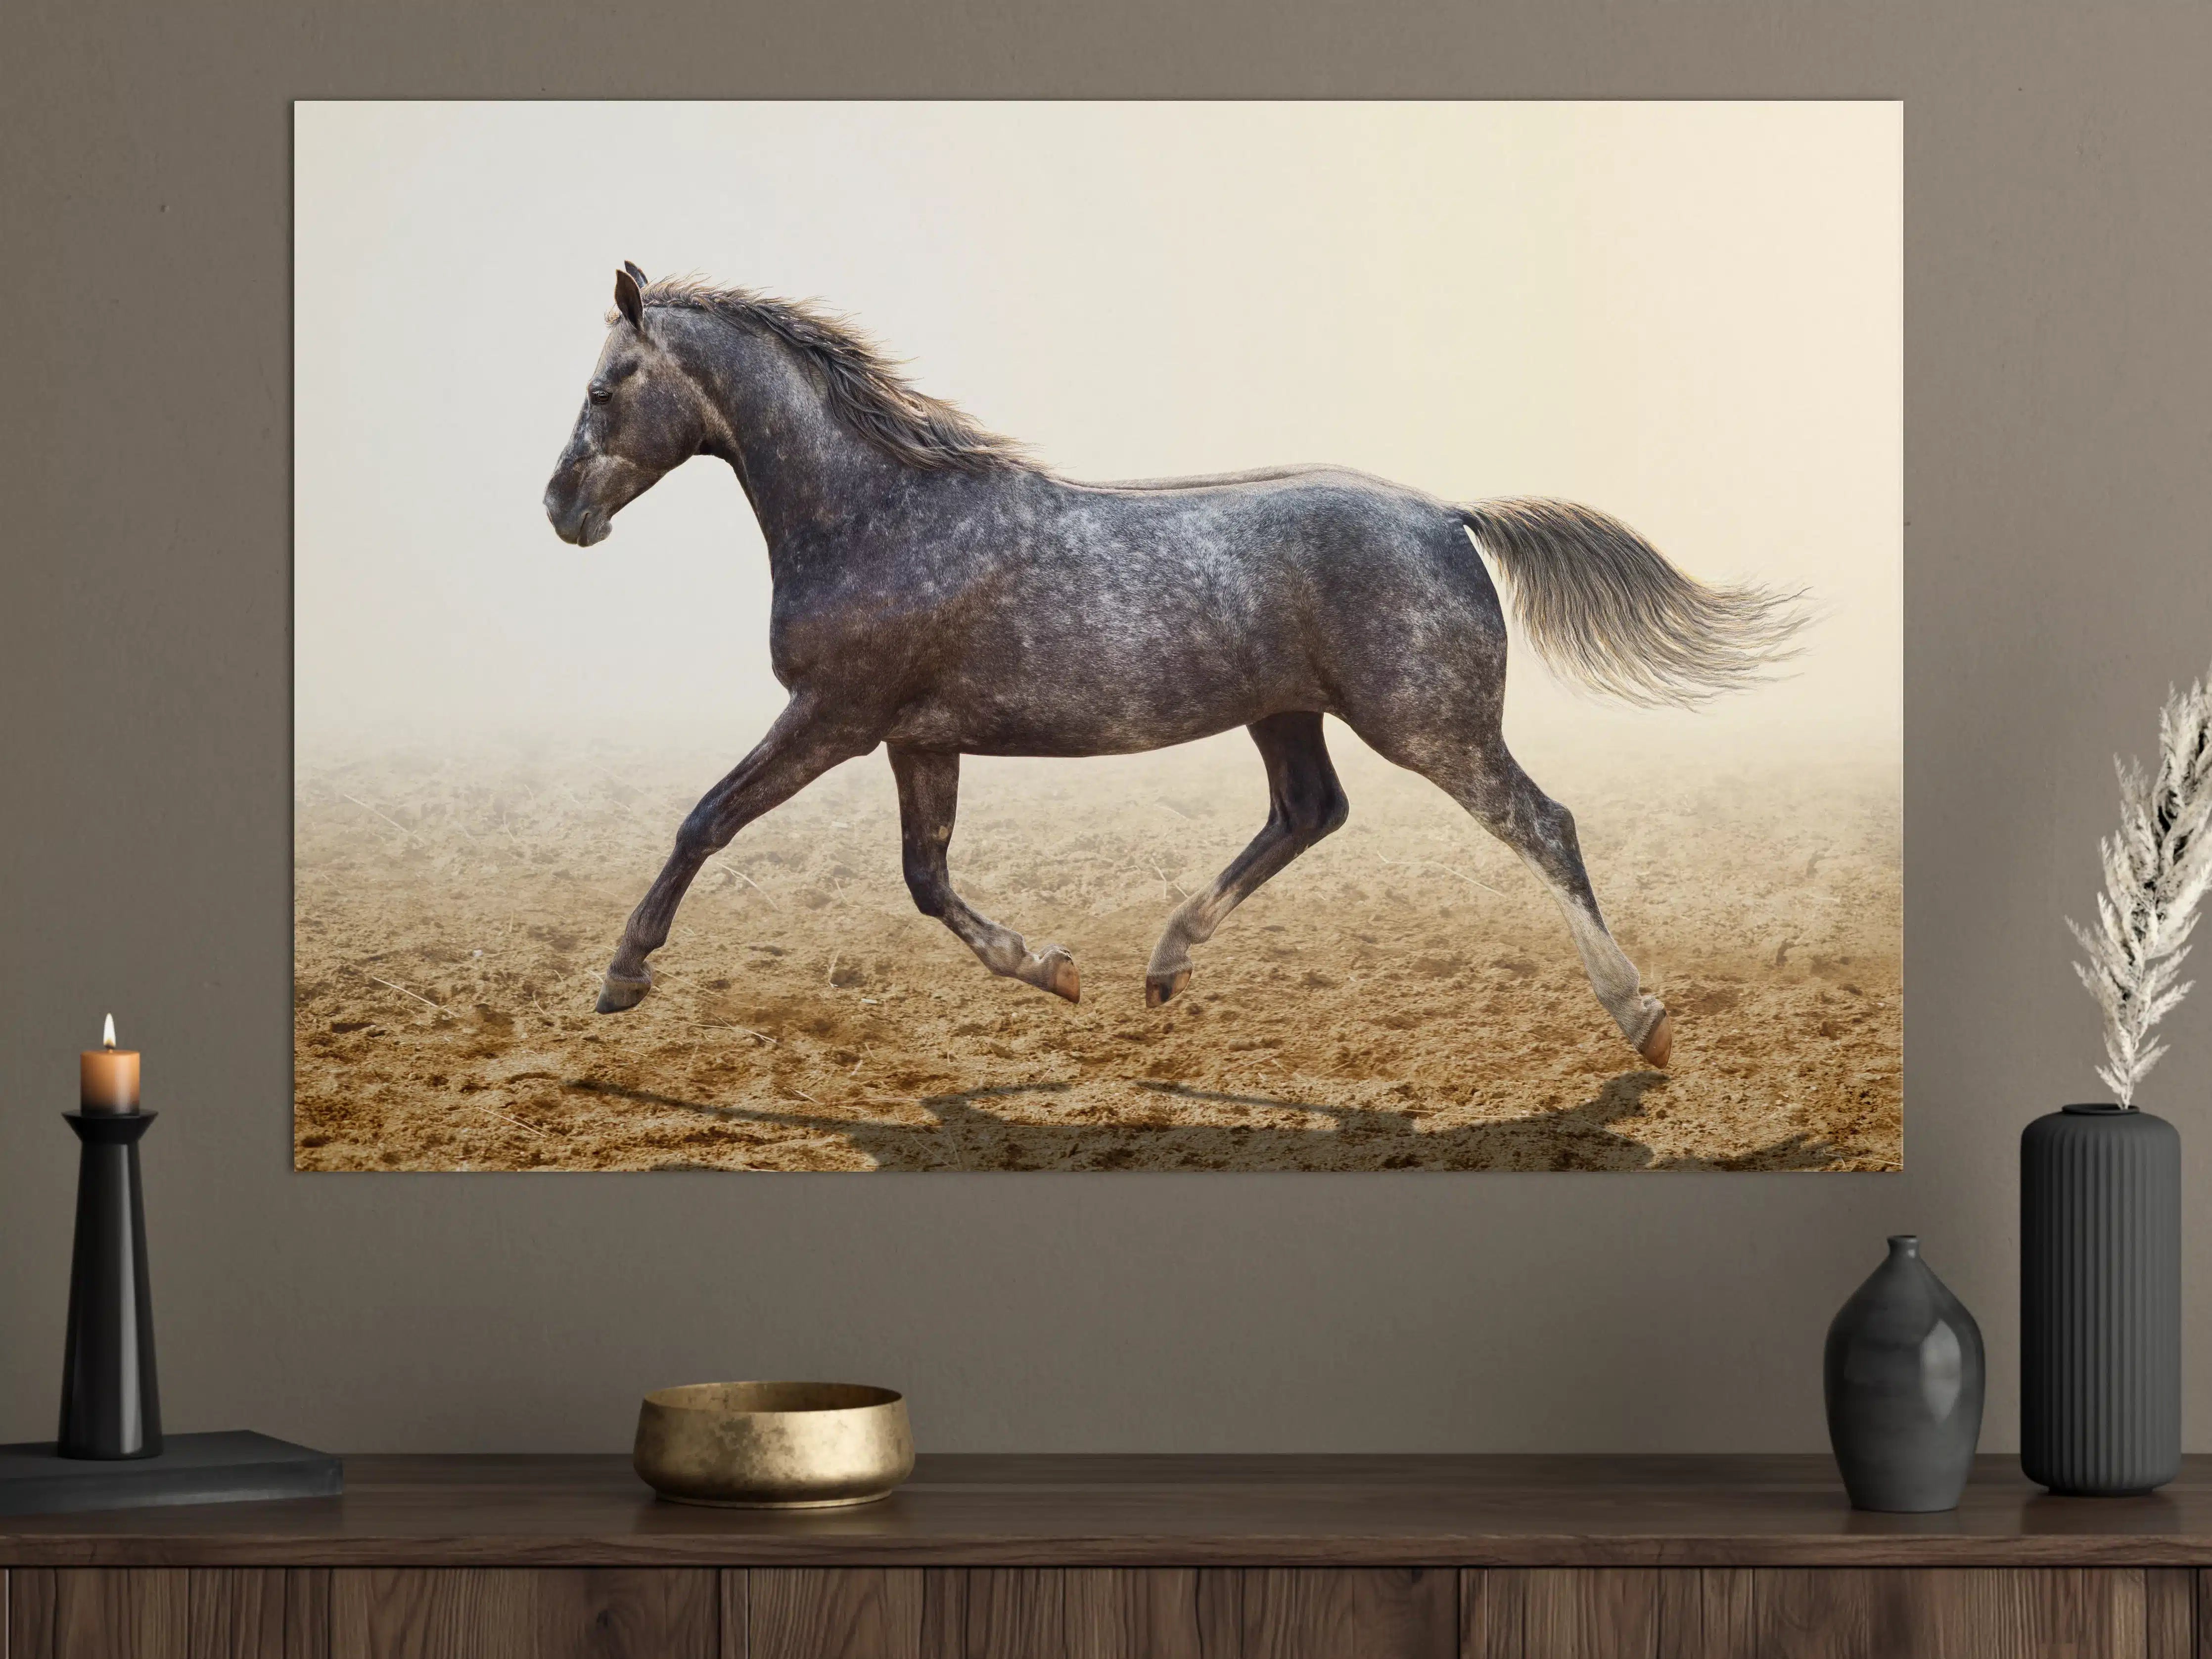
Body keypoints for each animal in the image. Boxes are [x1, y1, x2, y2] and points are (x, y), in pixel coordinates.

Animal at [543, 265, 1808, 1068]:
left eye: (603, 387)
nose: (559, 510)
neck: (879, 517)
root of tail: (1446, 515)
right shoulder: (916, 736)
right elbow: (925, 878)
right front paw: (1056, 971)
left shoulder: (833, 716)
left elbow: (706, 821)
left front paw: (621, 976)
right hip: (1287, 713)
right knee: (1308, 812)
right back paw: (1161, 966)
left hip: (1431, 725)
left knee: (1539, 824)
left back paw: (1641, 1018)